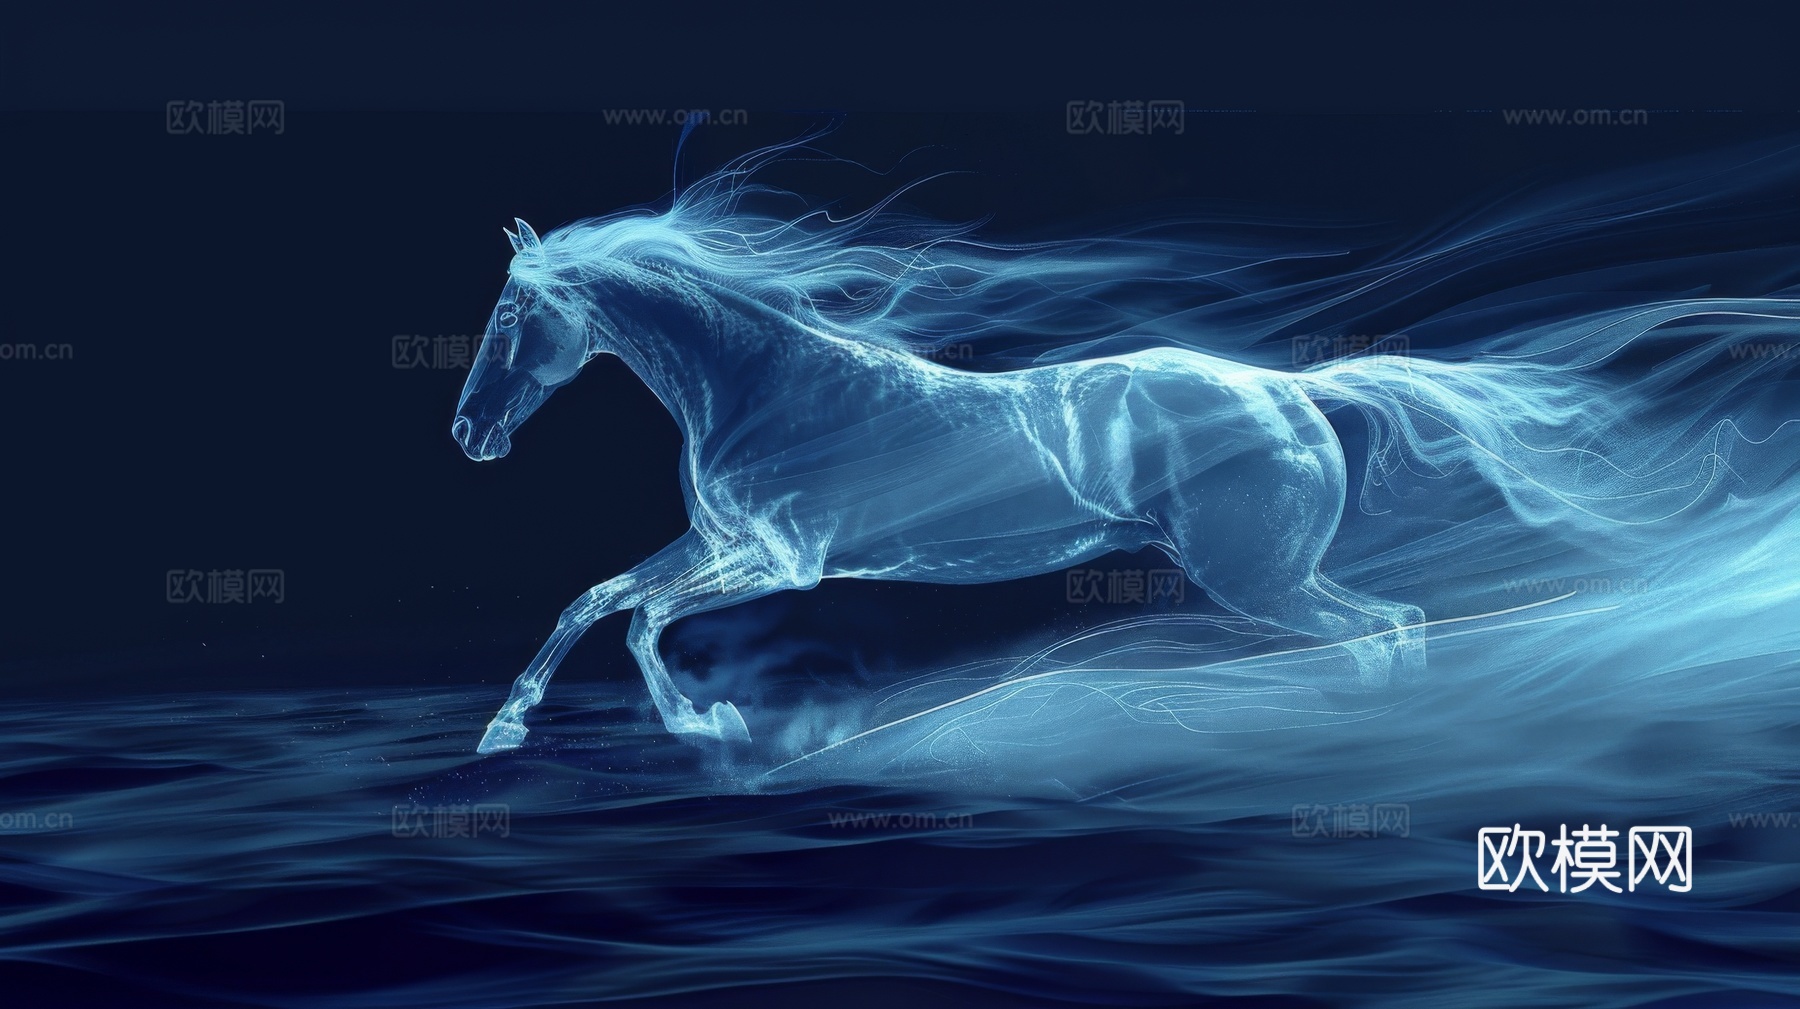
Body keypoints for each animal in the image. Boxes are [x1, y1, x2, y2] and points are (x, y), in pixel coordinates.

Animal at [453, 214, 1435, 753]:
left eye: (509, 313)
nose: (467, 433)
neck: (756, 387)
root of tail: (1290, 389)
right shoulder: (719, 540)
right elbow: (595, 601)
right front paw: (506, 727)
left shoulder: (783, 559)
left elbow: (642, 616)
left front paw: (710, 722)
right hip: (1274, 575)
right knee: (1397, 623)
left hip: (1259, 577)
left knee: (1387, 624)